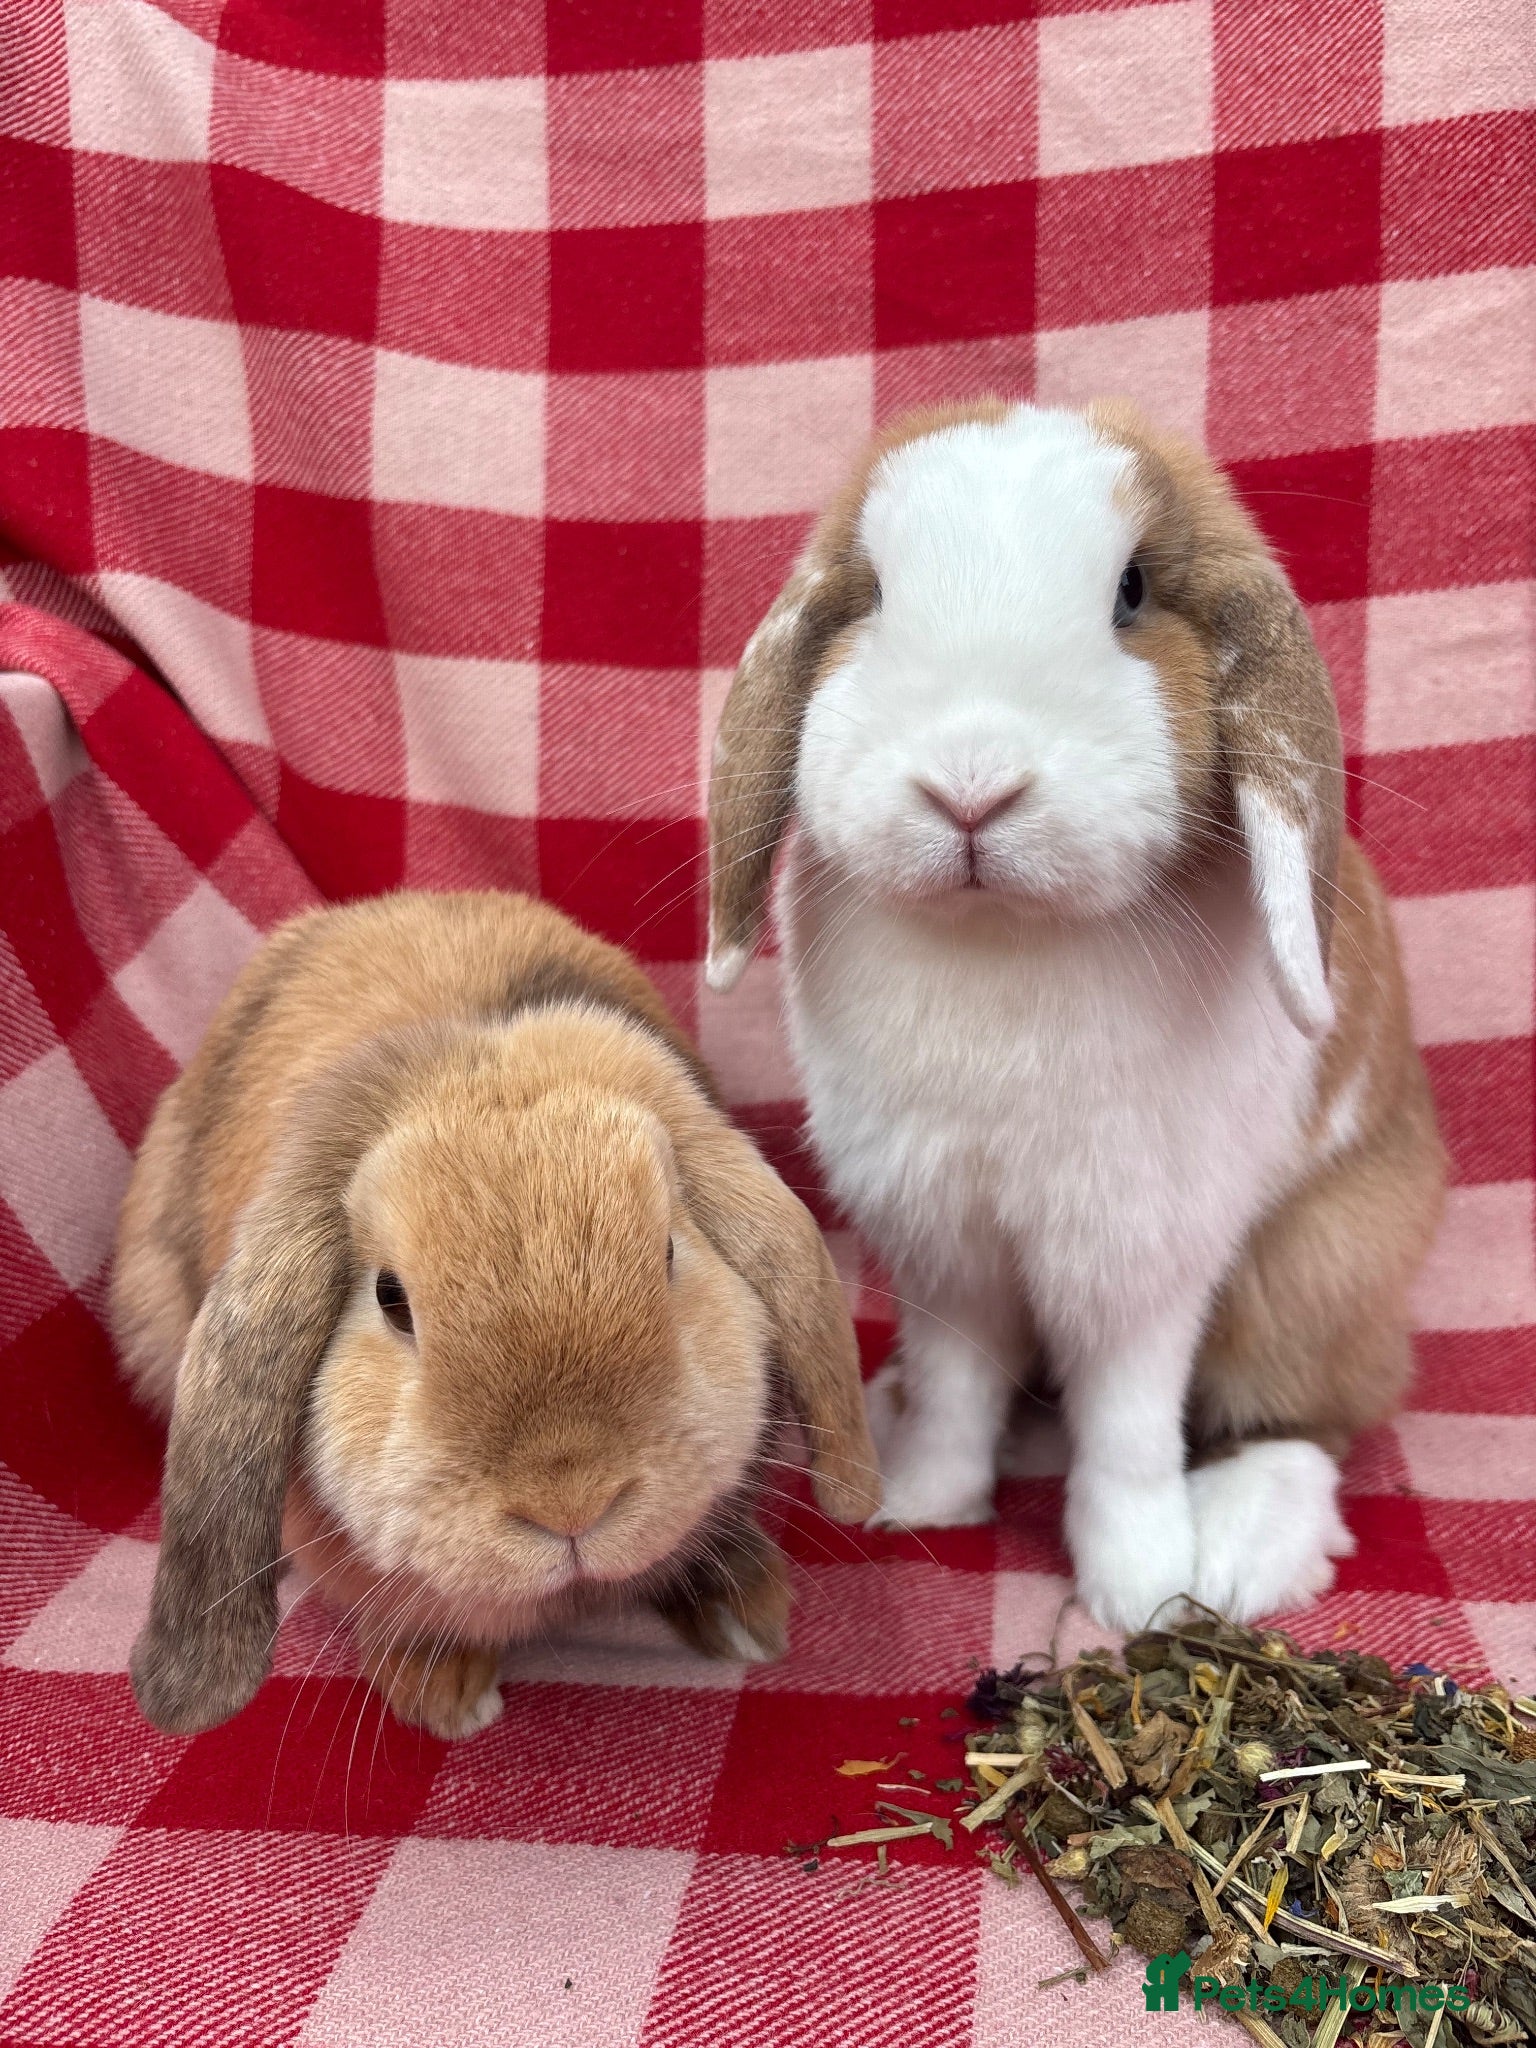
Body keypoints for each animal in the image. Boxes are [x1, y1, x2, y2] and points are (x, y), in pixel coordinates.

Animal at [705, 398, 1445, 1631]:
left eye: (1132, 591)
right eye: (874, 594)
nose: (970, 786)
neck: (1004, 934)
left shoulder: (1139, 1256)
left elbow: (1130, 1426)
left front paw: (1139, 1589)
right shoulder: (945, 1245)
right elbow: (958, 1386)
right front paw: (921, 1502)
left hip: (1318, 1267)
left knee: (1303, 1417)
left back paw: (1239, 1548)